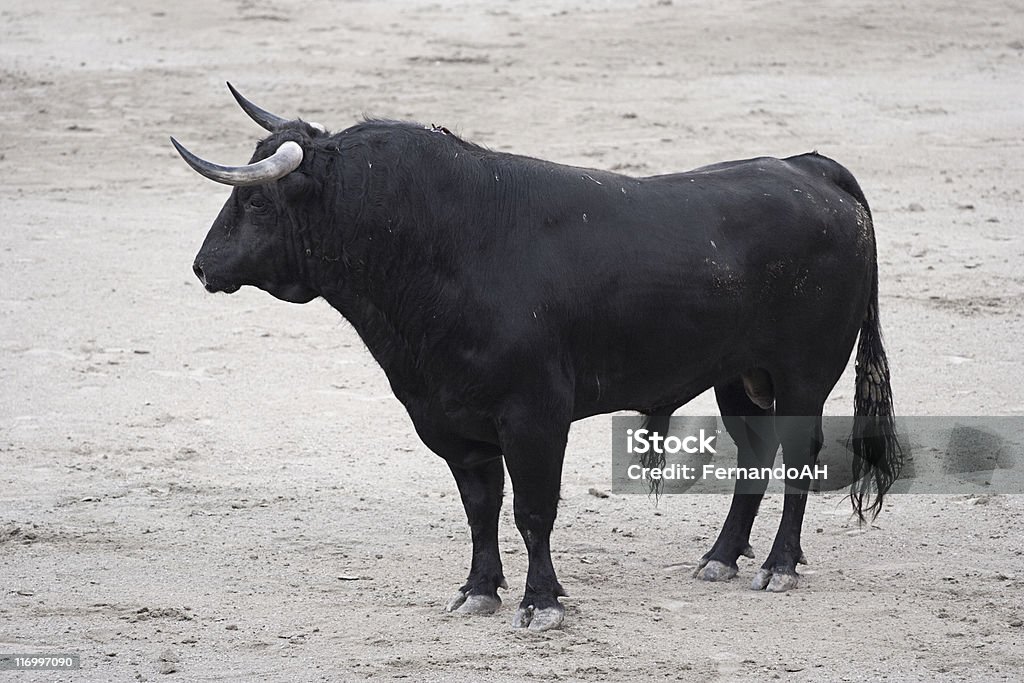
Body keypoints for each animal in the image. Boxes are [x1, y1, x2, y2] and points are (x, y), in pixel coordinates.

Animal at [172, 88, 901, 634]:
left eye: (256, 199)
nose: (204, 266)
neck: (434, 244)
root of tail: (809, 168)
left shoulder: (534, 417)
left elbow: (532, 509)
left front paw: (541, 602)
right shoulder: (449, 419)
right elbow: (480, 505)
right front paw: (477, 590)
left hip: (804, 374)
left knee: (798, 455)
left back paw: (778, 566)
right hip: (738, 379)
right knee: (753, 453)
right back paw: (720, 558)